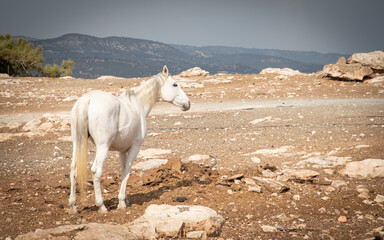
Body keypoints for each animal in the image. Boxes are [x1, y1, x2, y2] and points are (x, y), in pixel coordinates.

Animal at [69, 65, 190, 212]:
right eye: (174, 84)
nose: (188, 103)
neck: (138, 105)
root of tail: (87, 100)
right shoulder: (135, 148)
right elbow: (127, 171)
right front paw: (121, 203)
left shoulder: (122, 150)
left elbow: (122, 172)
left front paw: (125, 199)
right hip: (103, 147)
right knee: (96, 172)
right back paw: (101, 206)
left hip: (77, 143)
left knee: (73, 170)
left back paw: (73, 206)